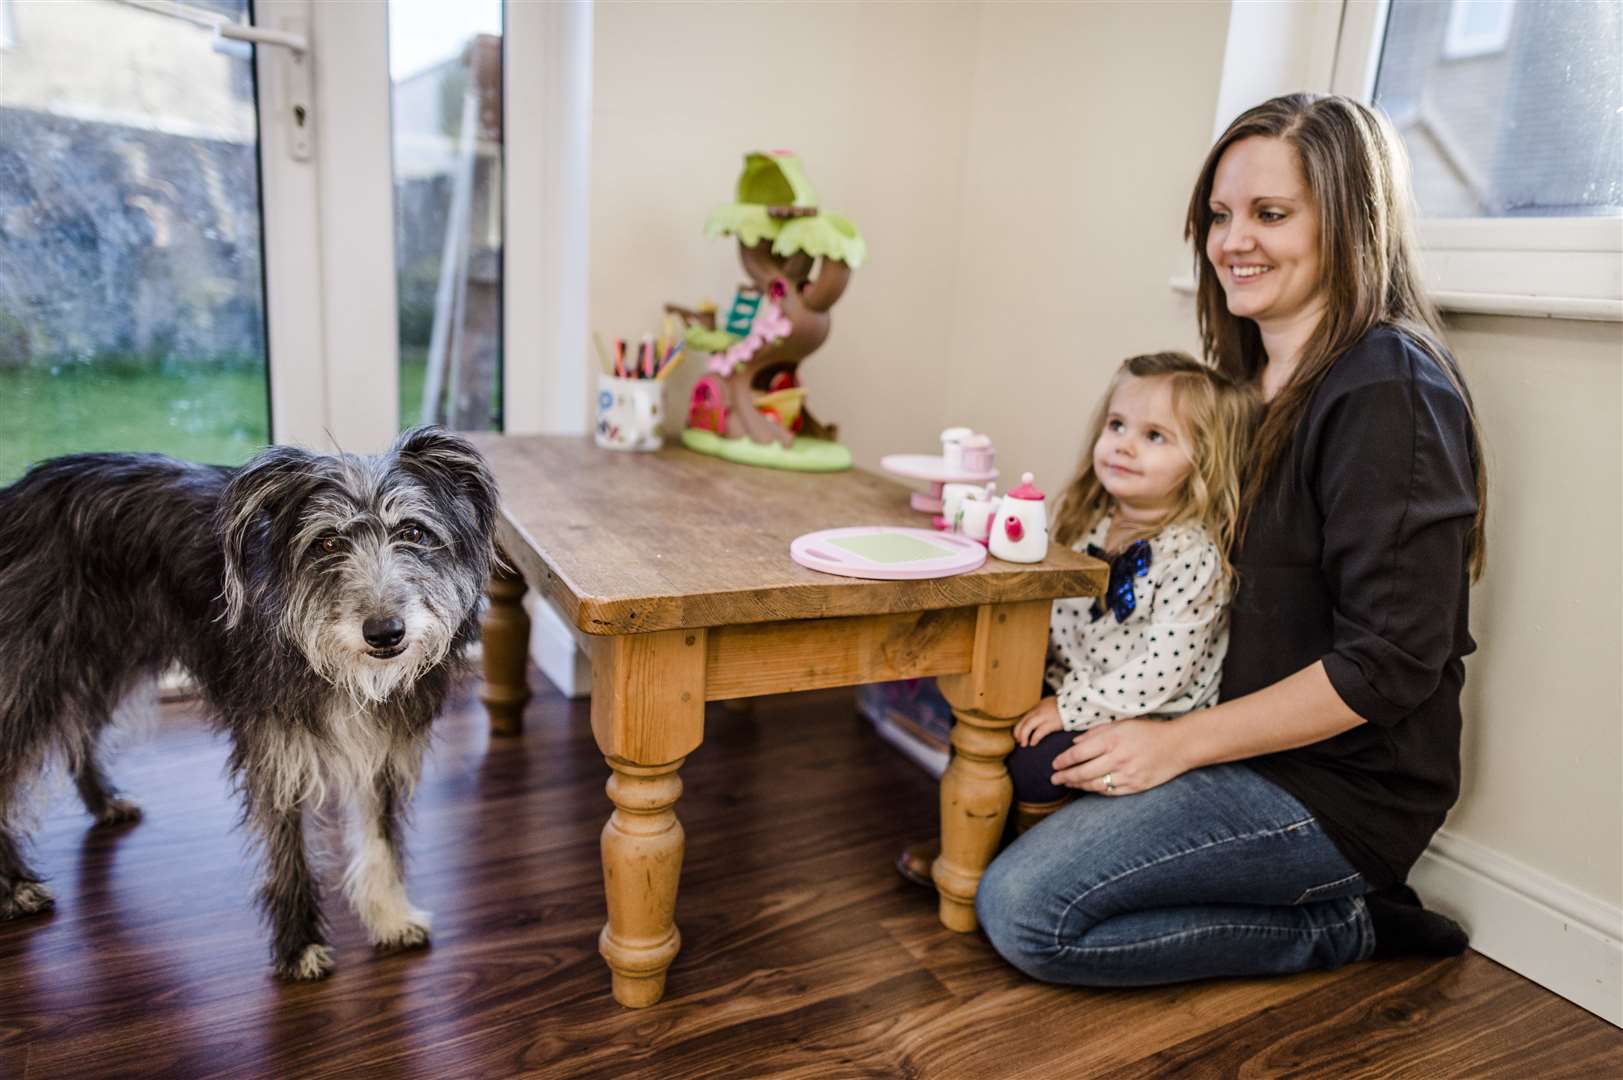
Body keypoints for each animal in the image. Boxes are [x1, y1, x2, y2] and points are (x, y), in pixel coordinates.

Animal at [0, 428, 496, 974]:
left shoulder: (381, 746)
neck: (329, 664)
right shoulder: (277, 752)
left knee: (81, 729)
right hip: (35, 674)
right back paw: (17, 887)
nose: (386, 633)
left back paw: (103, 801)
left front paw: (389, 917)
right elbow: (289, 852)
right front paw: (300, 945)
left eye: (413, 532)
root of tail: (18, 491)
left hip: (108, 658)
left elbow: (381, 838)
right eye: (327, 542)